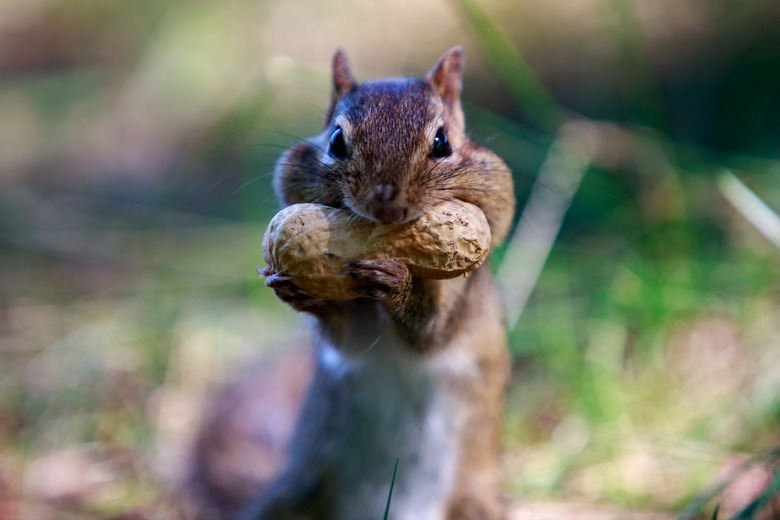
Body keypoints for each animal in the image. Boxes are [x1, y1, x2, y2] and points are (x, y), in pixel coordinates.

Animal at [180, 46, 516, 516]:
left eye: (442, 141)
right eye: (336, 141)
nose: (386, 201)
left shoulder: (462, 295)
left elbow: (431, 333)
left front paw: (394, 282)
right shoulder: (352, 334)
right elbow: (347, 337)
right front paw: (295, 290)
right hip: (298, 491)